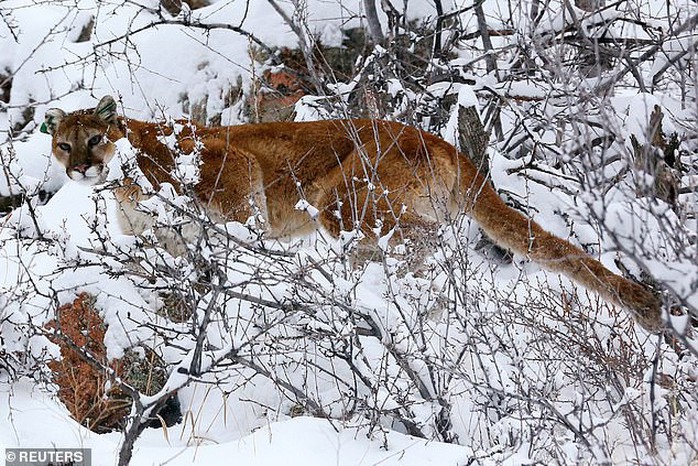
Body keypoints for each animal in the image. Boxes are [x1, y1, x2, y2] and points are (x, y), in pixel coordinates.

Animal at [40, 95, 660, 332]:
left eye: (95, 138)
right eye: (64, 145)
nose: (81, 168)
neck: (124, 185)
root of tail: (439, 139)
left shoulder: (234, 167)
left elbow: (240, 229)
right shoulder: (162, 240)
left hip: (344, 202)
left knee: (429, 239)